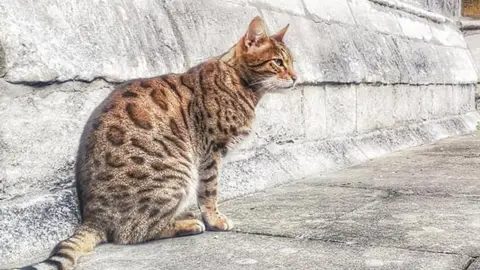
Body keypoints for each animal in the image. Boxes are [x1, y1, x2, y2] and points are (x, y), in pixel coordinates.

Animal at [24, 15, 298, 268]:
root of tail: (92, 217)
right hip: (177, 173)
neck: (239, 83)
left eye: (292, 63)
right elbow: (210, 191)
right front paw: (215, 220)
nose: (296, 77)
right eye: (278, 62)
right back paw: (188, 223)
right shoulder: (211, 151)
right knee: (131, 233)